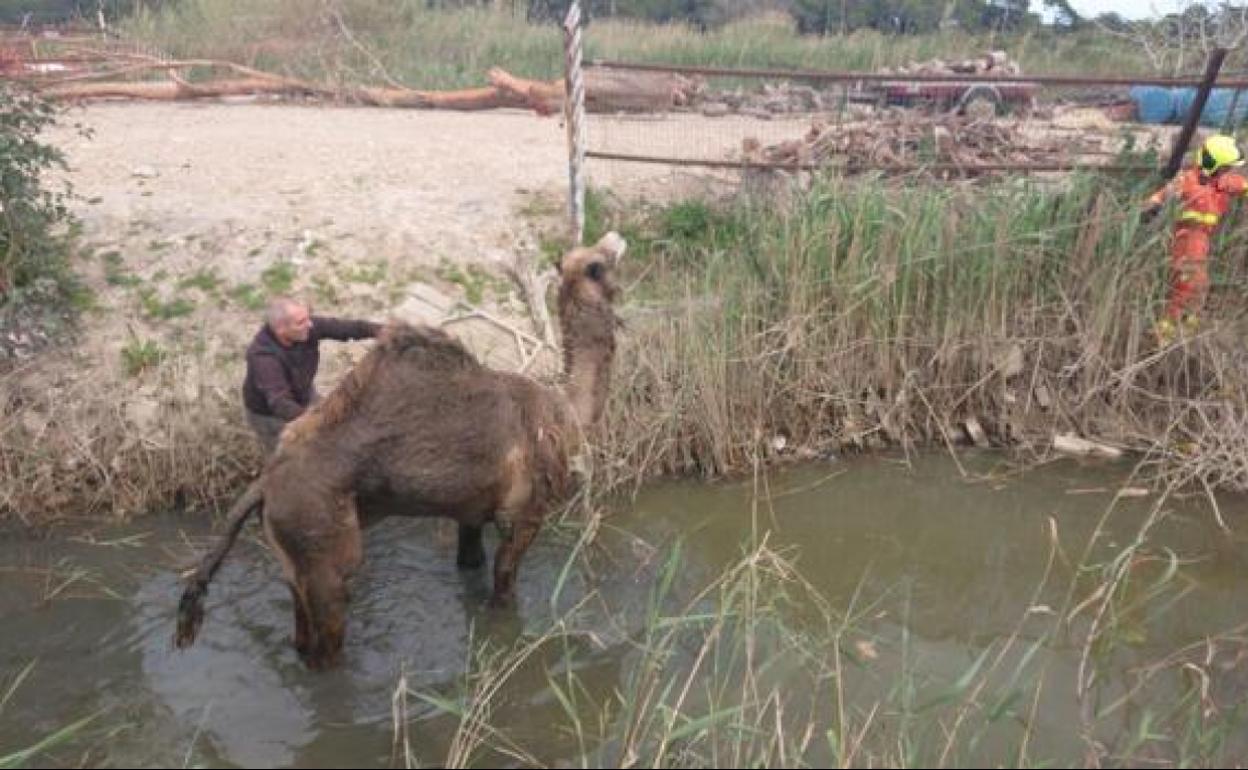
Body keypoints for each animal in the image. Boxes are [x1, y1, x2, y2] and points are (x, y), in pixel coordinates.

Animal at [173, 230, 624, 668]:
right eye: (598, 263)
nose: (616, 238)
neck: (563, 410)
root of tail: (263, 486)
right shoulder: (525, 513)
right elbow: (503, 589)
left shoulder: (470, 509)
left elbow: (471, 565)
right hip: (321, 539)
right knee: (329, 630)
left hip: (291, 552)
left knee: (299, 625)